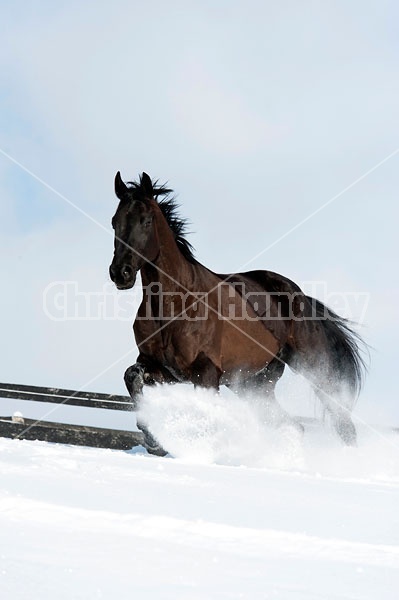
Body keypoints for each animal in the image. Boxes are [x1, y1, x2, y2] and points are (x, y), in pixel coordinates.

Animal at [108, 171, 366, 458]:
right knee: (293, 426)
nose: (121, 273)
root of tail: (297, 294)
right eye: (115, 222)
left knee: (342, 422)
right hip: (255, 384)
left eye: (146, 220)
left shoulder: (206, 373)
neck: (174, 306)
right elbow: (132, 377)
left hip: (312, 369)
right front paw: (153, 440)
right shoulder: (159, 368)